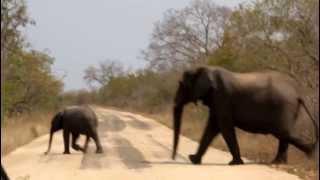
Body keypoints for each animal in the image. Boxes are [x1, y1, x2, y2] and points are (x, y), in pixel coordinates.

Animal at [172, 65, 318, 165]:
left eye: (181, 85)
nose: (172, 157)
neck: (205, 69)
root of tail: (298, 94)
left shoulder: (222, 98)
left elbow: (224, 127)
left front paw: (235, 163)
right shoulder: (217, 101)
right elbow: (212, 127)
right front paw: (193, 159)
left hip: (284, 107)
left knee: (282, 132)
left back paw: (310, 155)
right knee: (284, 134)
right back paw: (278, 162)